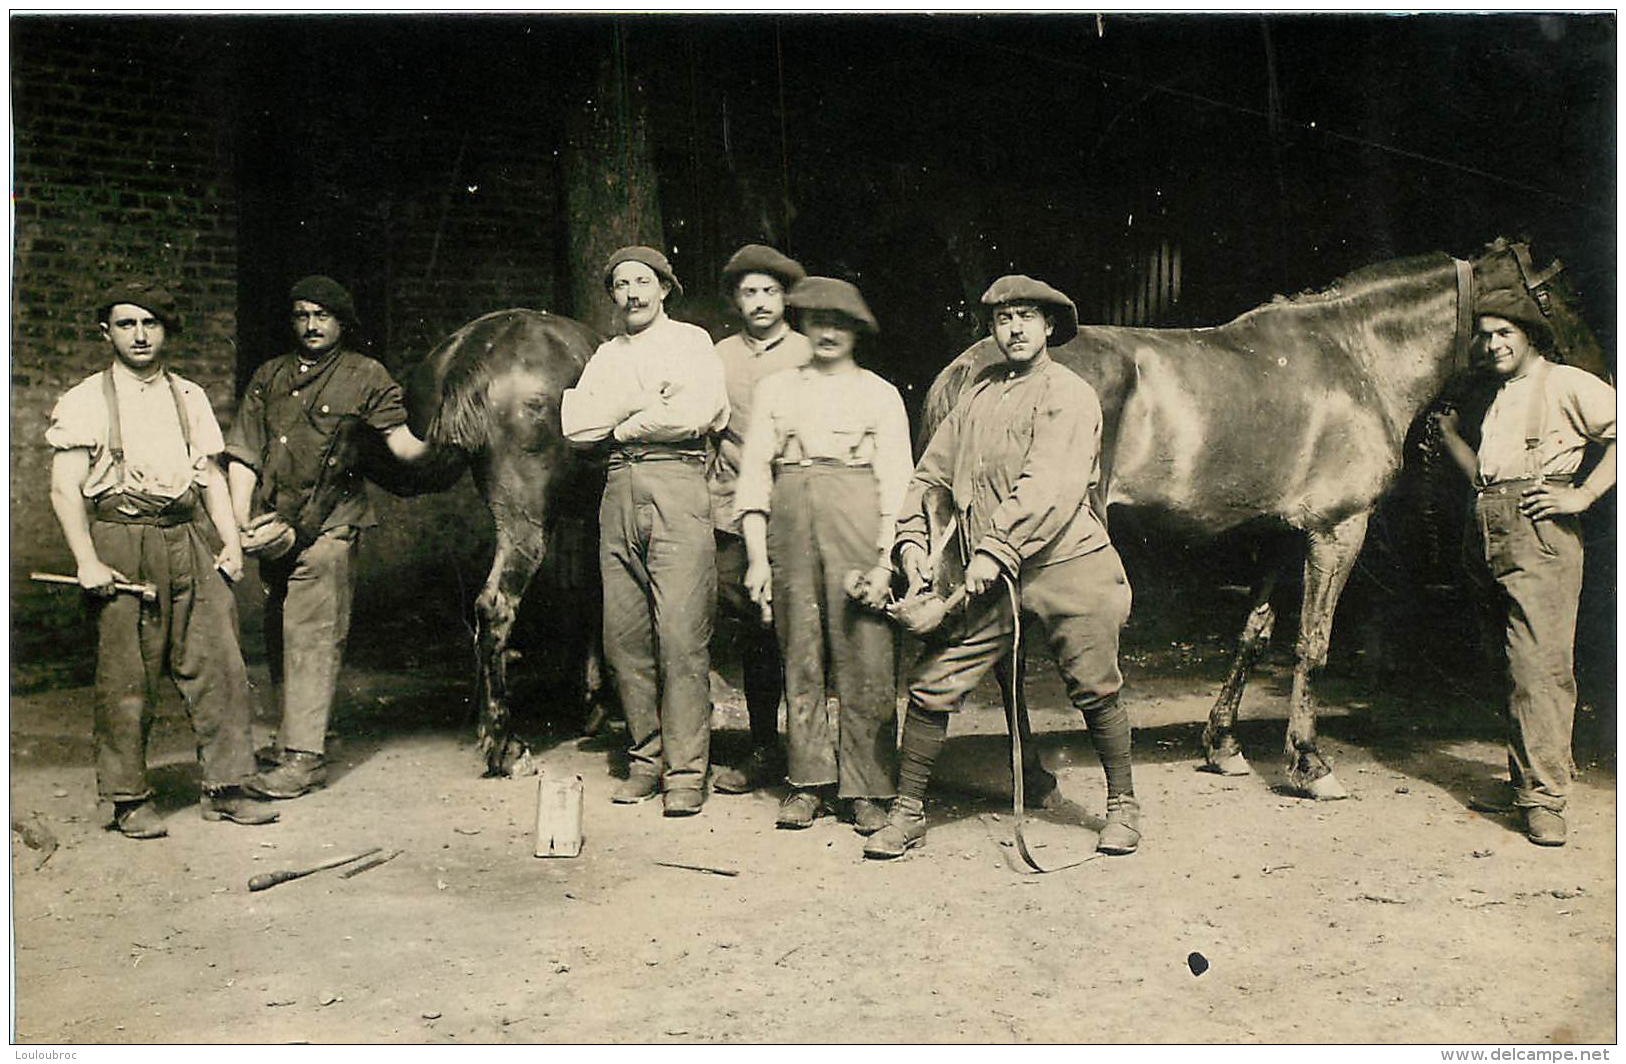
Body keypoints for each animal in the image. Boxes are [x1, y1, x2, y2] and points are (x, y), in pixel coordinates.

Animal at [923, 239, 1606, 800]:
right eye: (1560, 292)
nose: (1599, 374)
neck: (1356, 355)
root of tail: (977, 367)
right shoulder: (1337, 530)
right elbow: (1313, 642)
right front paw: (1309, 763)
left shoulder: (1284, 535)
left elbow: (1254, 633)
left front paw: (1224, 747)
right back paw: (1033, 778)